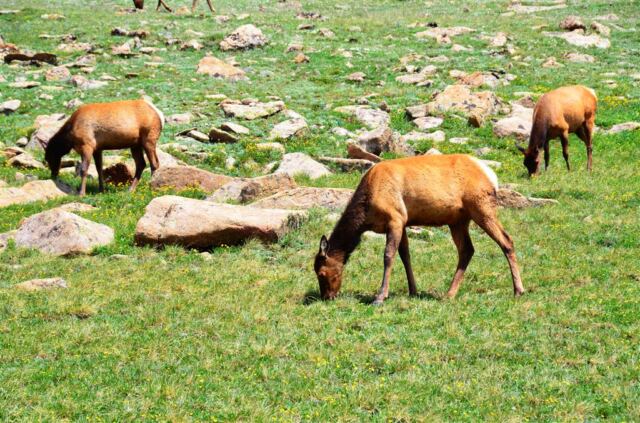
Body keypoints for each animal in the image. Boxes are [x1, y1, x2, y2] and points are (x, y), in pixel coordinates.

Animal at [314, 154, 524, 305]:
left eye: (321, 273)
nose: (327, 297)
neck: (366, 214)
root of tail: (491, 175)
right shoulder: (403, 222)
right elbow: (405, 255)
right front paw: (413, 290)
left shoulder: (395, 218)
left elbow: (388, 256)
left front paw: (380, 297)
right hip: (458, 220)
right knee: (467, 250)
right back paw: (449, 293)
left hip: (481, 206)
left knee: (506, 240)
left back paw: (518, 290)